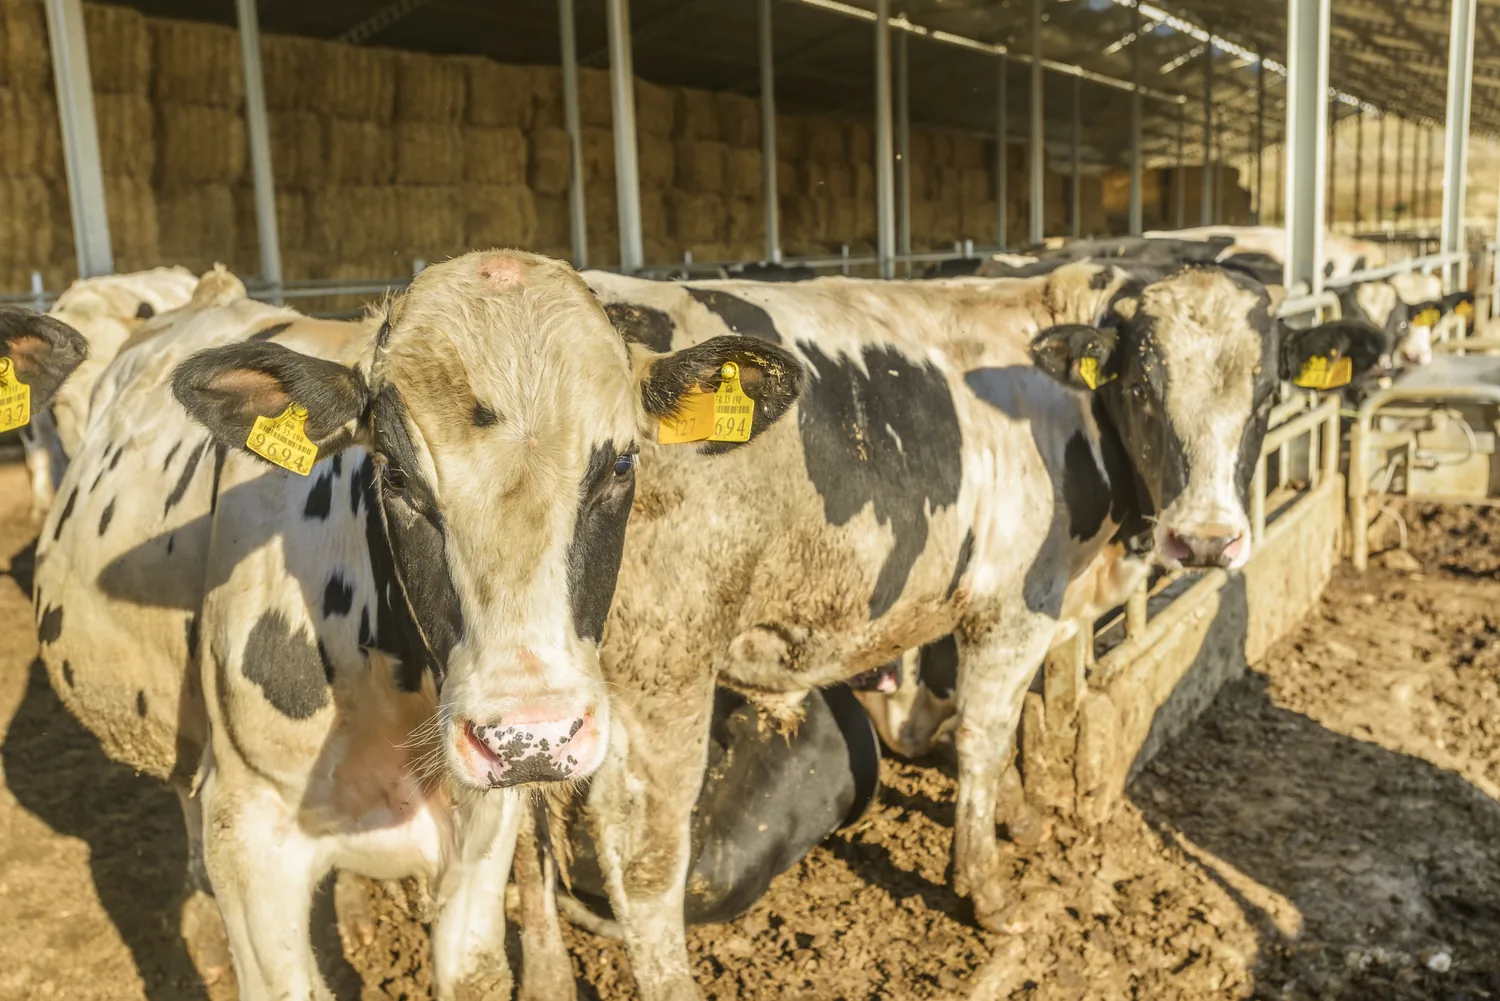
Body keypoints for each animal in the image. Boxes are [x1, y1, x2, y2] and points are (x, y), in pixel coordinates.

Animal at [568, 262, 1384, 999]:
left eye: (1268, 393)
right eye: (1143, 391)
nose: (1207, 541)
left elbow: (1003, 715)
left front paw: (1018, 816)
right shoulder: (1014, 604)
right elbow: (985, 733)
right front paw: (988, 890)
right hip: (663, 674)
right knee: (644, 863)